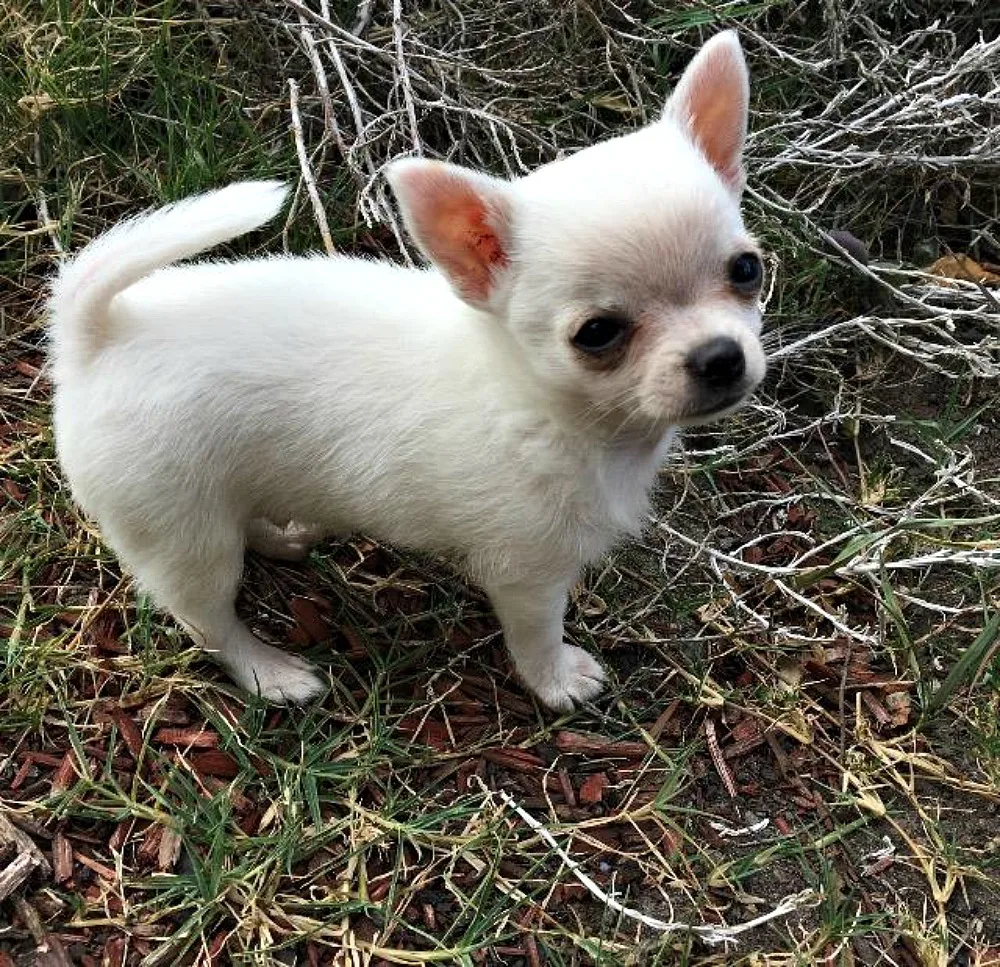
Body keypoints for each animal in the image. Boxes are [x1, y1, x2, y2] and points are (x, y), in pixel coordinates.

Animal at [47, 32, 764, 712]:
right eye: (598, 334)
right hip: (183, 536)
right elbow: (538, 634)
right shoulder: (526, 573)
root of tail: (99, 337)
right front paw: (556, 680)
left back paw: (284, 536)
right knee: (208, 620)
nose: (720, 356)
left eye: (747, 270)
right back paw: (268, 671)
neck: (549, 408)